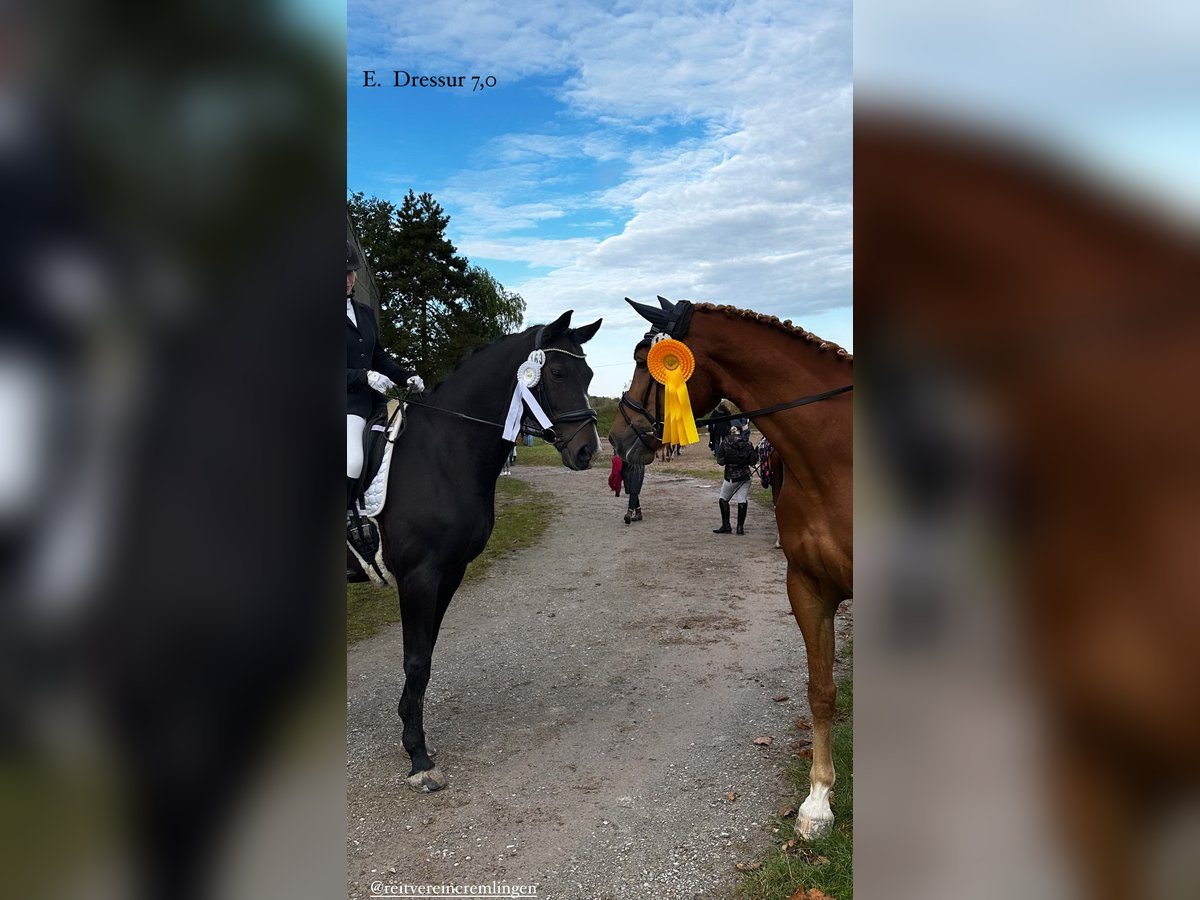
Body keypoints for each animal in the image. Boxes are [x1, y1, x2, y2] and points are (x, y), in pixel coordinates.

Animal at [376, 314, 600, 792]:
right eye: (557, 373)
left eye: (589, 375)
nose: (587, 450)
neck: (442, 452)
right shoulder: (419, 576)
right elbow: (416, 660)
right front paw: (419, 759)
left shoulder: (450, 572)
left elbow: (426, 654)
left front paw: (411, 732)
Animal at [609, 300, 854, 844]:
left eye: (643, 361)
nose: (616, 437)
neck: (837, 457)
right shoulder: (808, 587)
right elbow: (821, 692)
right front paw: (818, 802)